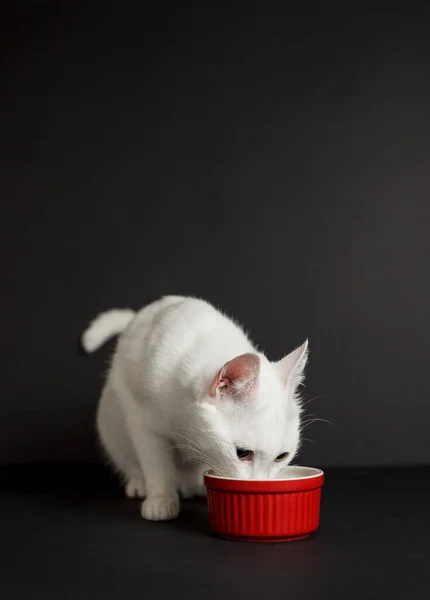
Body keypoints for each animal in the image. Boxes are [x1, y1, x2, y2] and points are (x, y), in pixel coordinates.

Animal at [81, 296, 310, 520]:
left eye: (282, 456)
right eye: (243, 453)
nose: (258, 485)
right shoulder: (142, 421)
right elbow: (155, 462)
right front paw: (161, 499)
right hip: (110, 422)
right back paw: (140, 483)